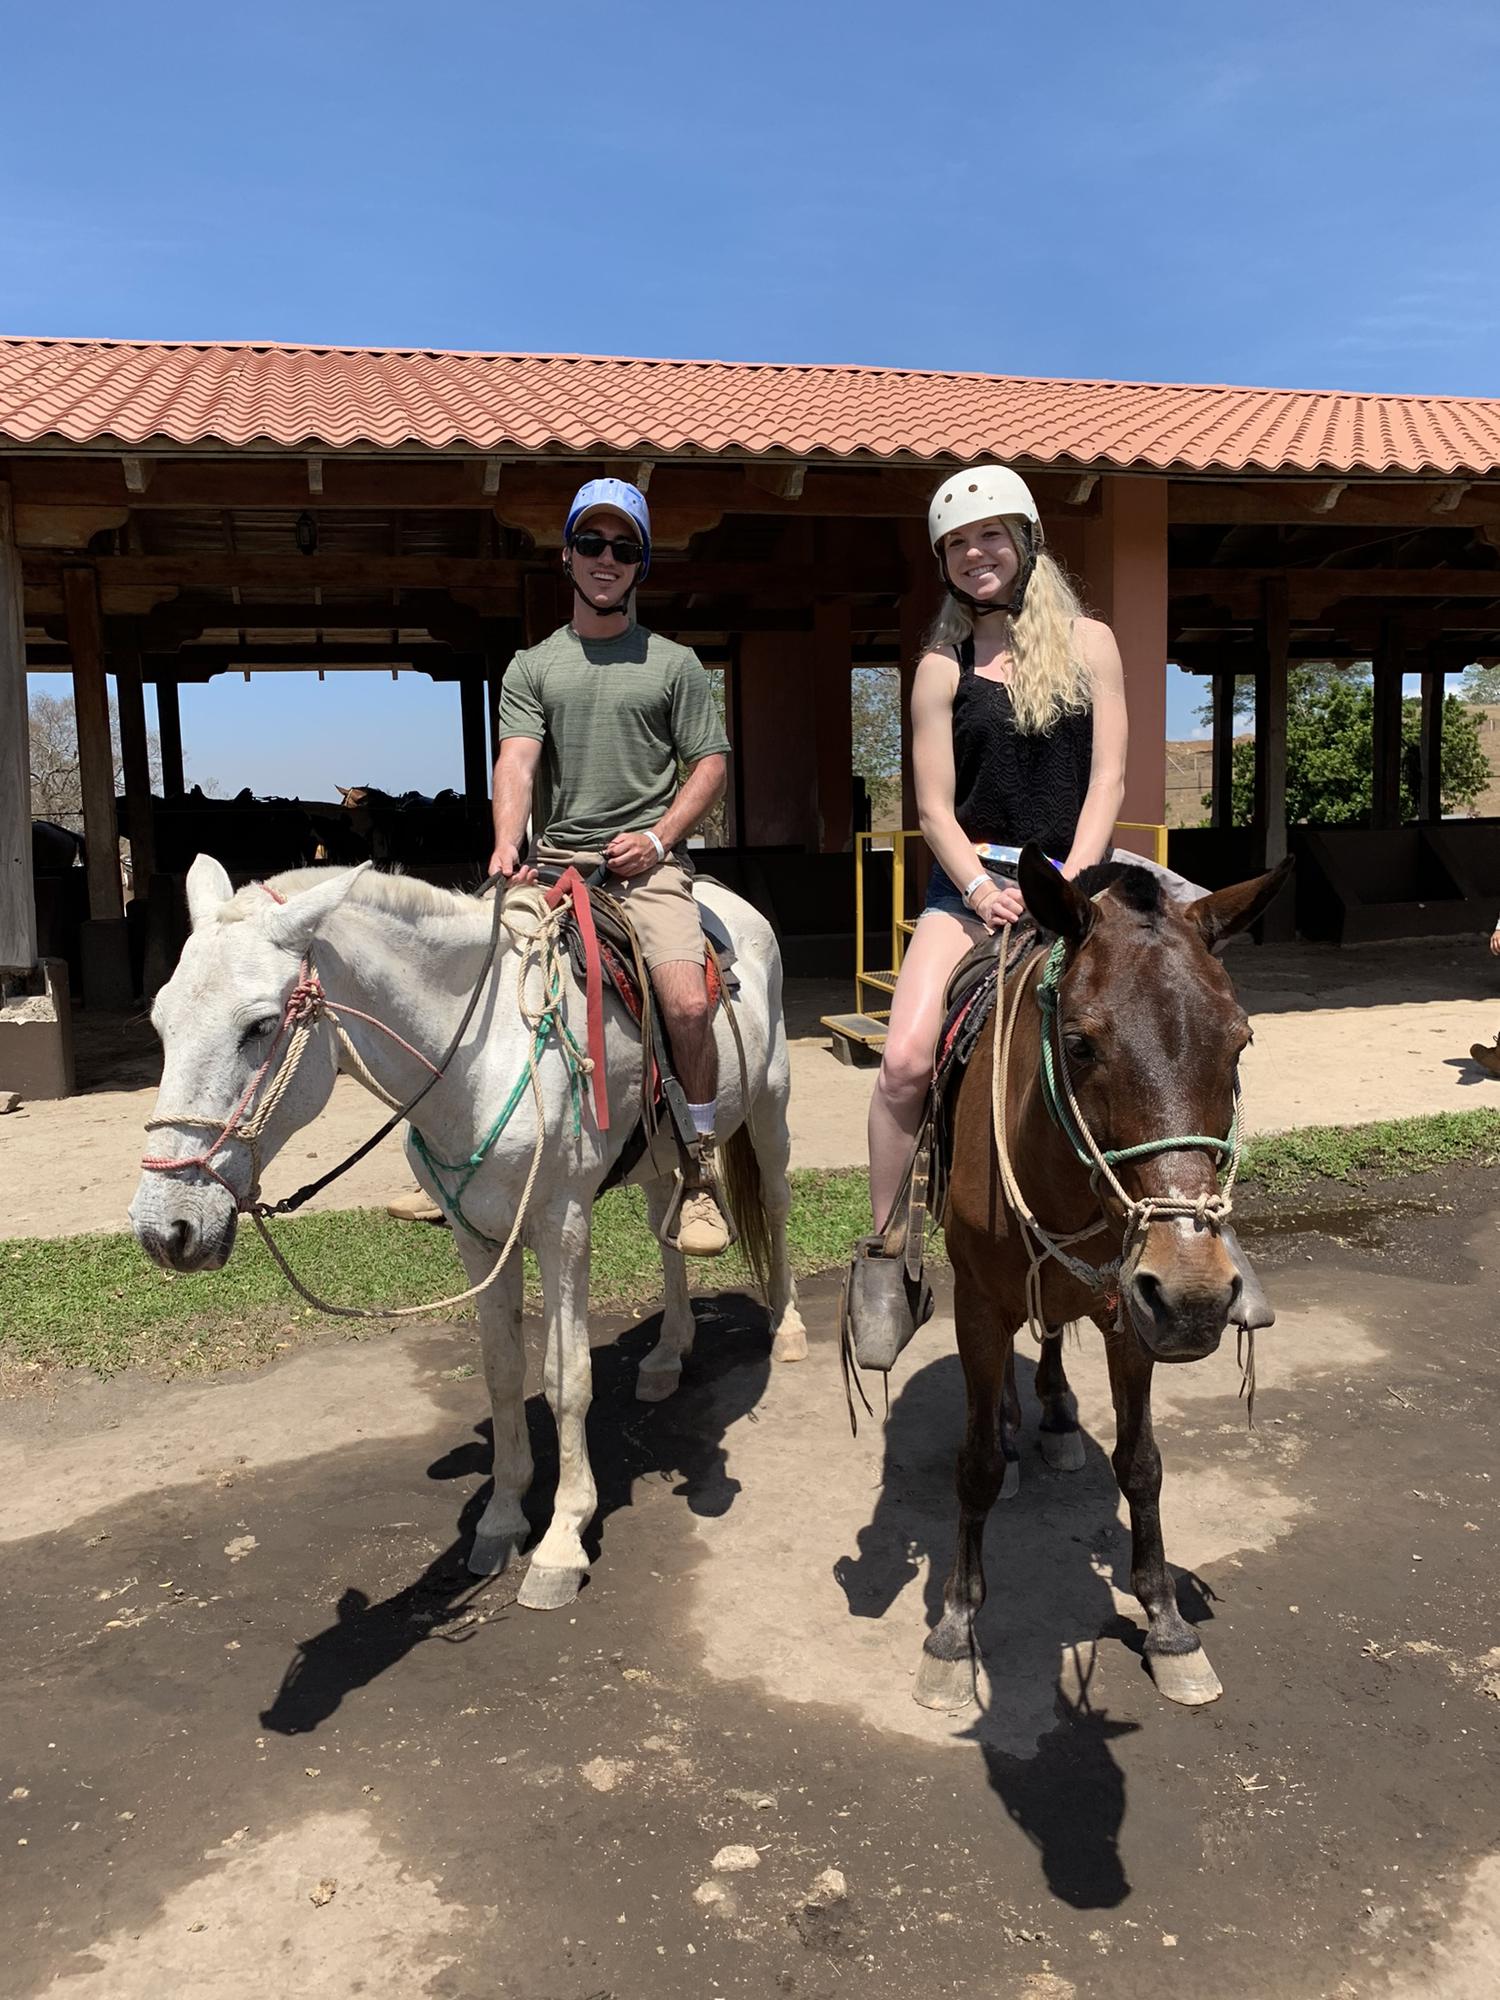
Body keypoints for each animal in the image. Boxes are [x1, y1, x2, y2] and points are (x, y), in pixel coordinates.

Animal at [129, 856, 812, 1608]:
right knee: (668, 1224)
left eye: (257, 1026)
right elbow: (501, 1369)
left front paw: (562, 1541)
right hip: (658, 1153)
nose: (166, 1228)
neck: (478, 1063)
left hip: (770, 1106)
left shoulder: (562, 1227)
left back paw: (787, 1330)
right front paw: (503, 1519)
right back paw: (667, 1353)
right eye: (161, 1024)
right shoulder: (476, 1237)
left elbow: (566, 1377)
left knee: (775, 1204)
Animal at [924, 852, 1296, 1712]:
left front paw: (1165, 1622)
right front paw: (955, 1628)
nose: (1194, 1293)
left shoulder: (1133, 1314)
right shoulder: (976, 1306)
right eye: (1080, 1043)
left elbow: (1142, 1463)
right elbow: (974, 1468)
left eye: (1240, 1044)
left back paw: (1056, 1413)